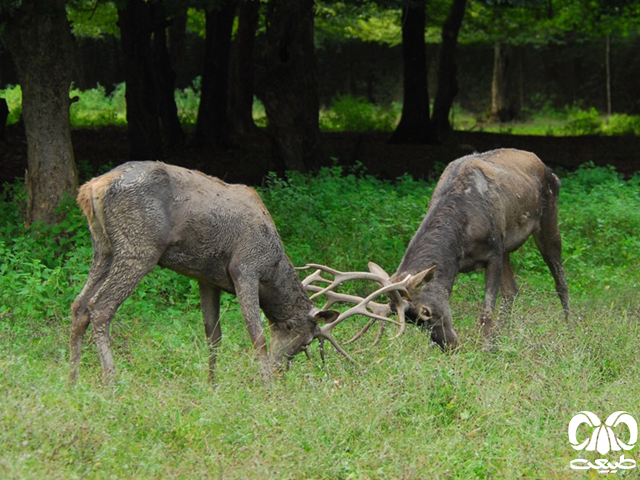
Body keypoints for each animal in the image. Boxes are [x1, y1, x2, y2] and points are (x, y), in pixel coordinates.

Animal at [70, 160, 410, 382]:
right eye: (305, 343)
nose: (280, 370)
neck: (274, 268)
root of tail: (92, 186)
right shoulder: (245, 267)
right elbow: (256, 334)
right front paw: (266, 387)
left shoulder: (206, 278)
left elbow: (213, 334)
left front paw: (212, 385)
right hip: (139, 247)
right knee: (100, 308)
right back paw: (111, 380)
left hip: (103, 248)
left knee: (78, 305)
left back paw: (73, 379)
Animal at [368, 148, 572, 350]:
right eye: (412, 322)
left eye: (426, 310)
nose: (448, 345)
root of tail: (547, 168)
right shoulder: (487, 253)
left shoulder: (494, 252)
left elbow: (486, 311)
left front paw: (485, 348)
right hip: (506, 245)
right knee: (512, 290)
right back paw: (504, 335)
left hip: (547, 221)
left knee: (560, 280)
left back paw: (570, 326)